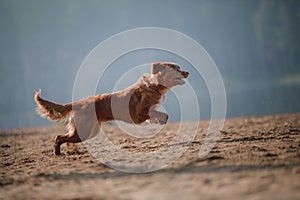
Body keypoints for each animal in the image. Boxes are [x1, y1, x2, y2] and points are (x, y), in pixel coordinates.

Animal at [34, 62, 188, 155]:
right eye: (176, 69)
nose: (187, 72)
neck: (155, 85)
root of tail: (77, 103)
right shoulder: (140, 113)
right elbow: (162, 115)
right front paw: (161, 120)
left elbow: (159, 115)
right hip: (85, 130)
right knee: (59, 137)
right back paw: (58, 152)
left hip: (90, 130)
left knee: (63, 137)